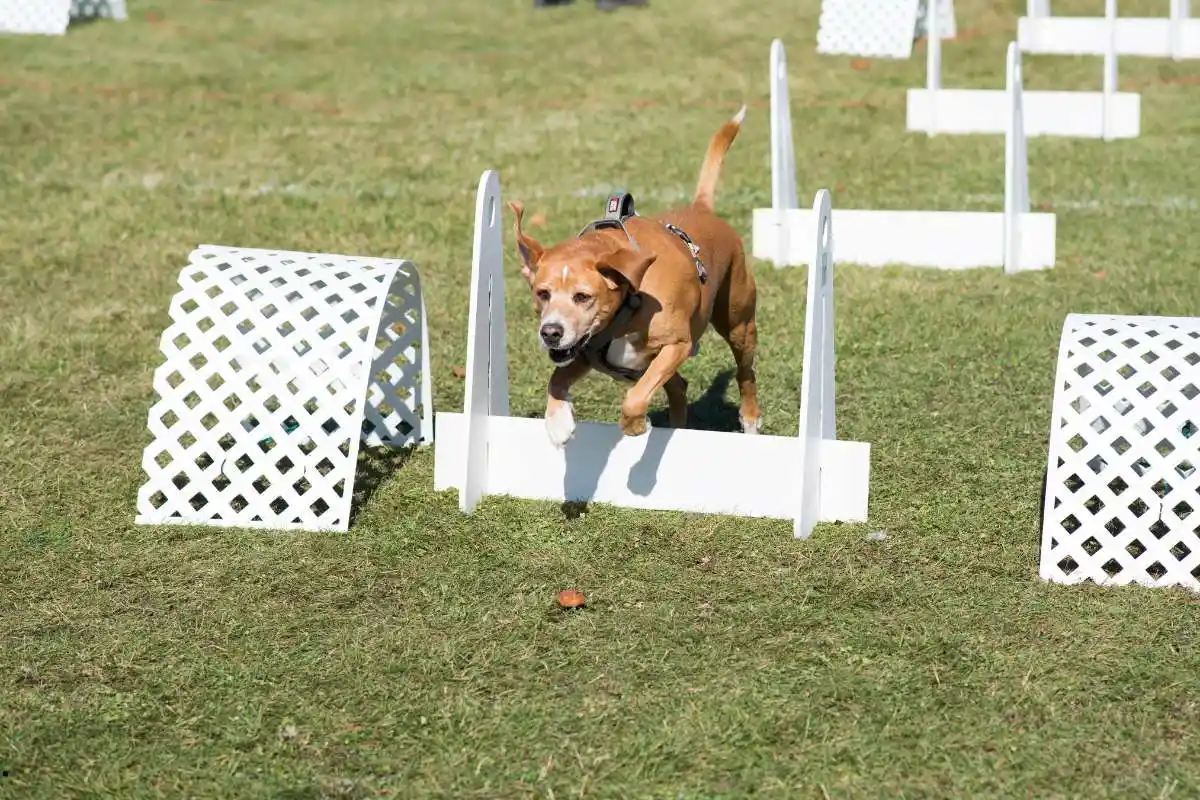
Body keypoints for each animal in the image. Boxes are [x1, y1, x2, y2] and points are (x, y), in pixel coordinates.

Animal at [508, 106, 758, 448]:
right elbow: (557, 378)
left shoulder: (676, 345)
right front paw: (558, 423)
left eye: (583, 296)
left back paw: (750, 421)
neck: (630, 300)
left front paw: (636, 426)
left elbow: (635, 398)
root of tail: (702, 209)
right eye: (542, 294)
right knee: (679, 387)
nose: (551, 332)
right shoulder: (585, 353)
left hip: (739, 324)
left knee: (745, 373)